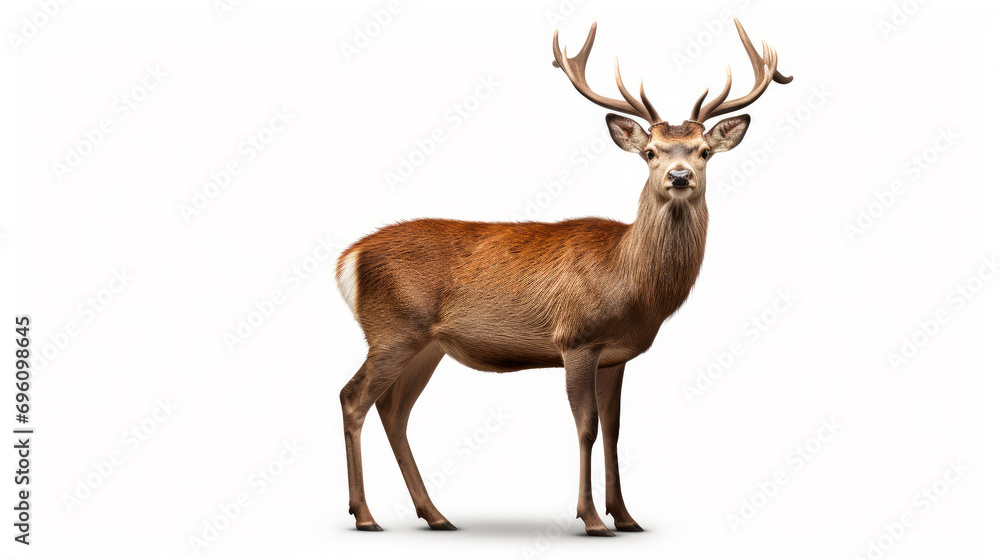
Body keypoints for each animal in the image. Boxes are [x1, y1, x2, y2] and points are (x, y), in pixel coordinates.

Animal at [335, 18, 792, 536]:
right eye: (650, 152)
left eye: (705, 152)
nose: (679, 176)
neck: (630, 282)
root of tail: (349, 258)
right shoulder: (576, 338)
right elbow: (586, 427)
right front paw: (591, 518)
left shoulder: (616, 355)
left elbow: (614, 430)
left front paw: (626, 516)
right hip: (392, 330)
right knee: (353, 398)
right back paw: (365, 515)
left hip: (426, 344)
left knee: (394, 410)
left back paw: (435, 515)